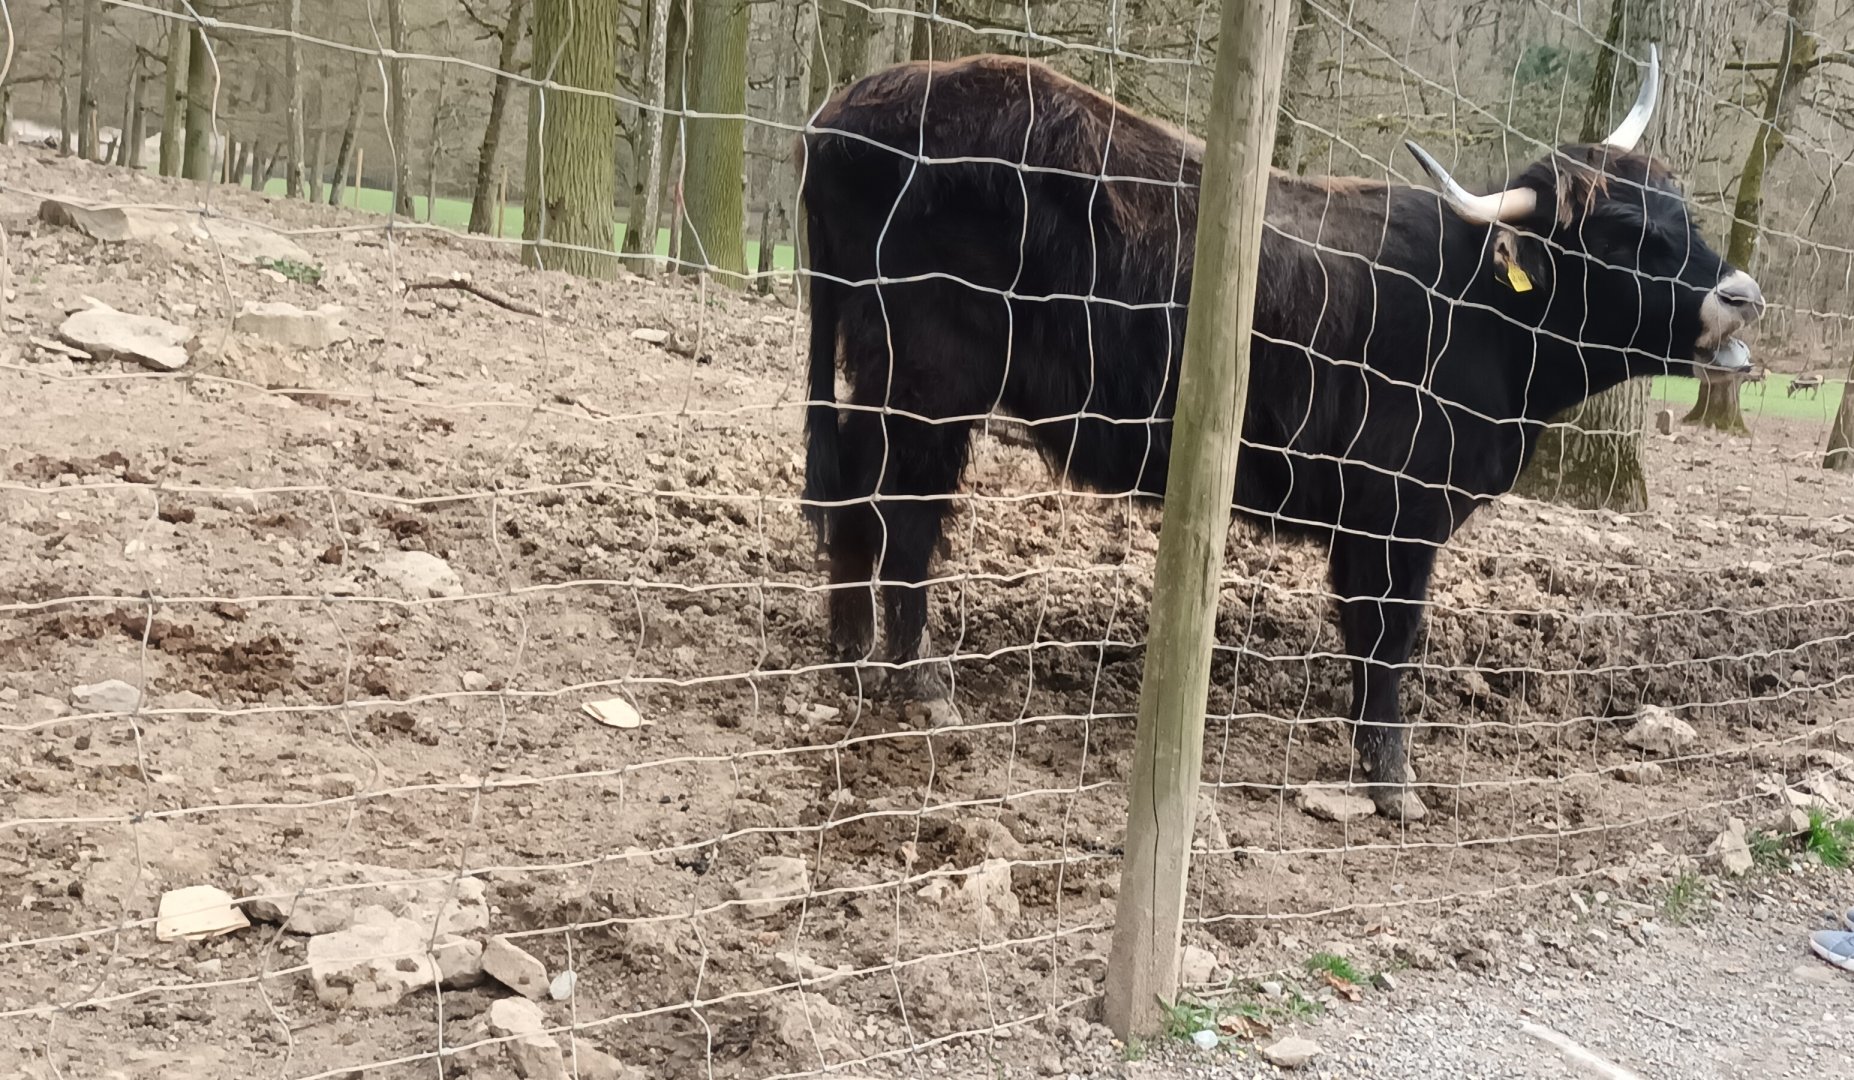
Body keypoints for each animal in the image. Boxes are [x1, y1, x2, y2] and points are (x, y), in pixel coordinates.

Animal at [796, 48, 1764, 821]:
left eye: (1685, 212)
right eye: (1622, 236)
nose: (1743, 295)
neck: (1478, 312)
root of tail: (848, 108)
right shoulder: (1398, 516)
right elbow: (1389, 640)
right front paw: (1393, 784)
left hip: (873, 370)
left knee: (852, 493)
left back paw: (848, 654)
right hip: (929, 385)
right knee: (905, 516)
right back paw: (920, 687)